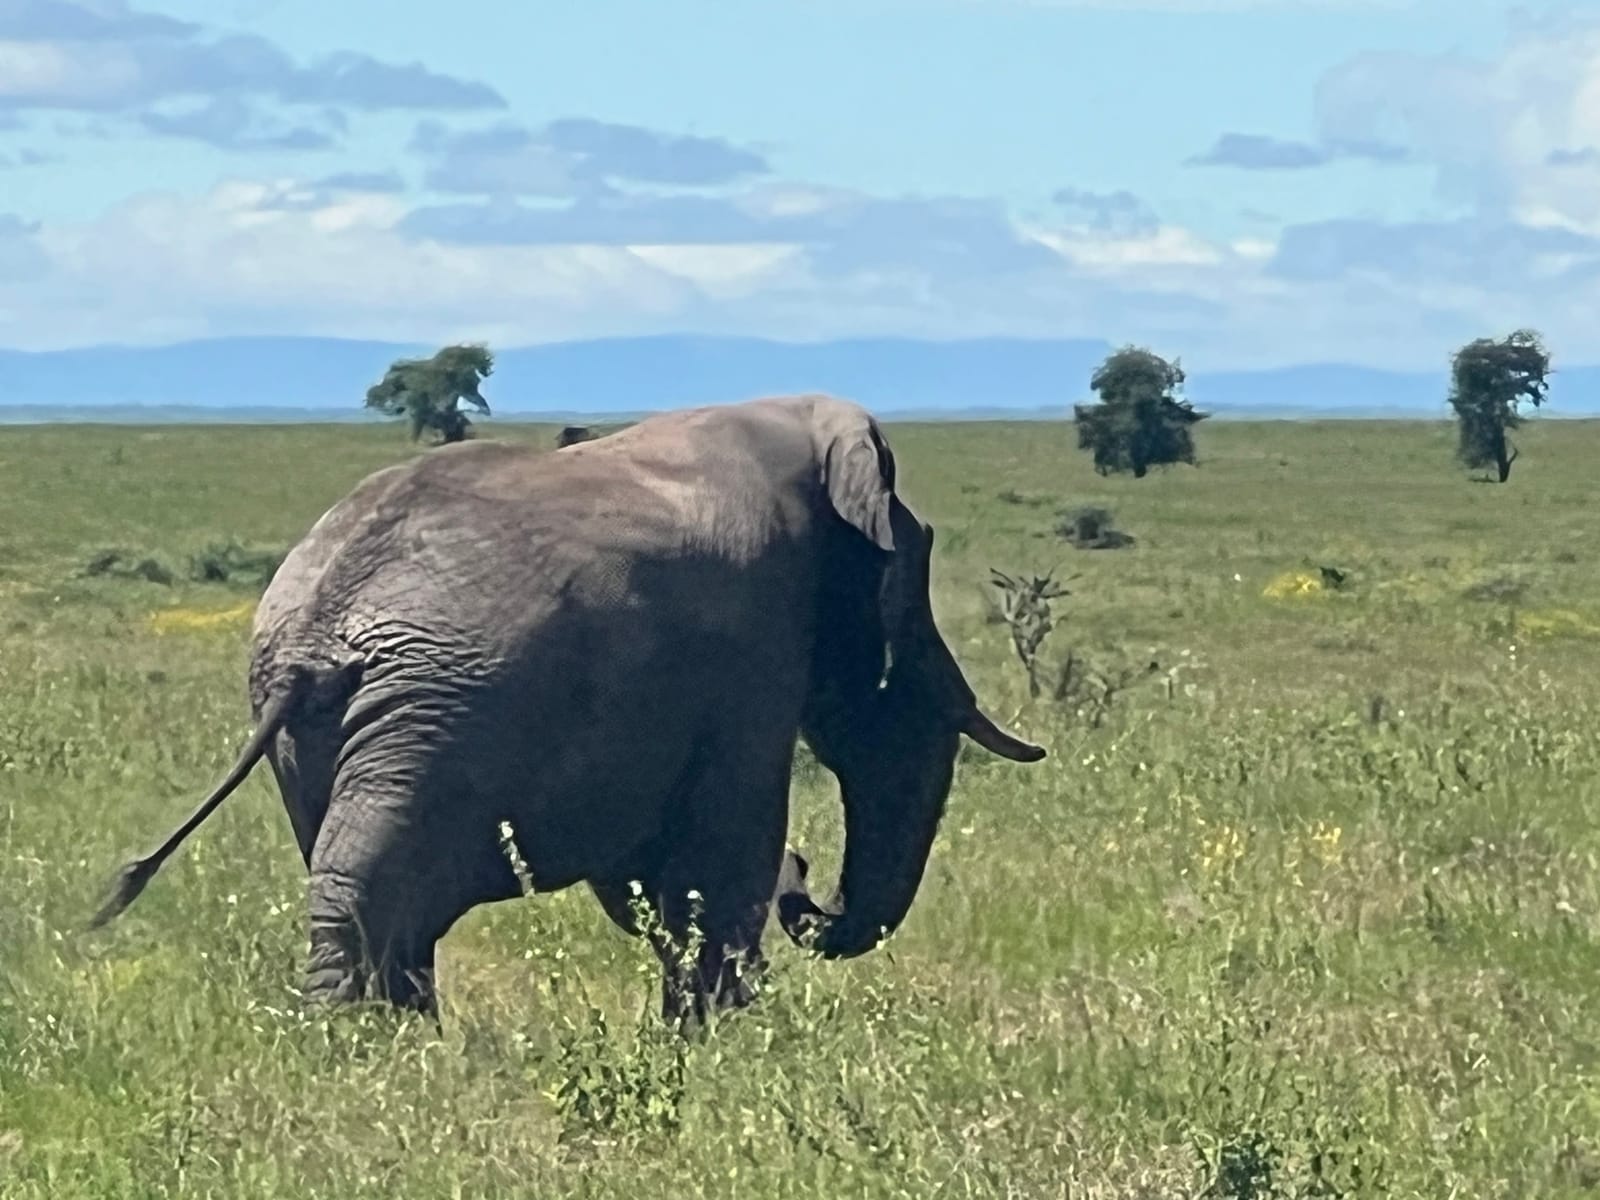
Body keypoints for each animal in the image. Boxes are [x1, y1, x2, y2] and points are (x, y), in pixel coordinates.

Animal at [90, 394, 1046, 1027]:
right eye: (915, 566)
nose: (809, 897)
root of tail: (320, 623)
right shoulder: (753, 649)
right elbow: (722, 851)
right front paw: (722, 1039)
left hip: (343, 726)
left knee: (361, 884)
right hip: (434, 716)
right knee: (373, 886)